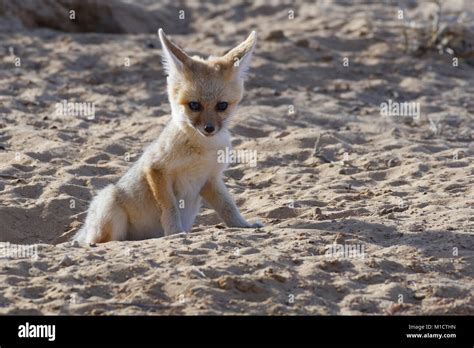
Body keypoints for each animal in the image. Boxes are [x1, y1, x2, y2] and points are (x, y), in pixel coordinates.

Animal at [73, 28, 262, 243]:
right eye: (194, 105)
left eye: (222, 106)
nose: (209, 128)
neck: (202, 150)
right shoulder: (155, 169)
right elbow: (170, 206)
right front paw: (175, 232)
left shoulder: (211, 179)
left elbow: (227, 205)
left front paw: (243, 225)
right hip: (110, 200)